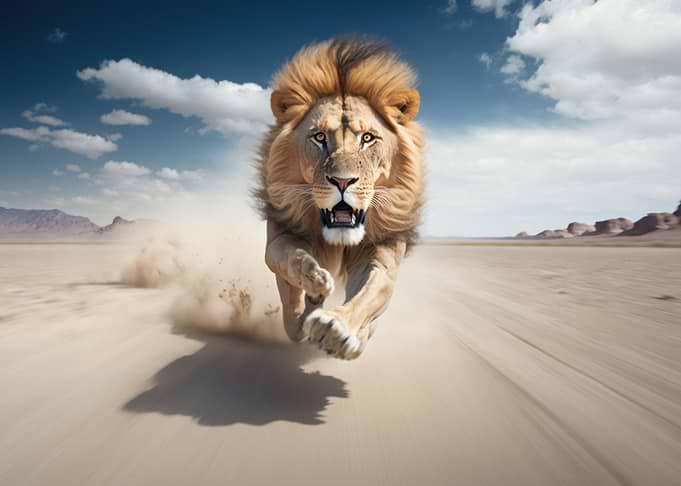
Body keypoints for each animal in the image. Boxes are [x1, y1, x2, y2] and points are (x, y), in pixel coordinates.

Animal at [254, 36, 424, 359]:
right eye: (319, 137)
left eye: (367, 138)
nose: (343, 181)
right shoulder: (280, 234)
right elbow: (289, 263)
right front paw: (314, 282)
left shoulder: (382, 251)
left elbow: (372, 290)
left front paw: (336, 329)